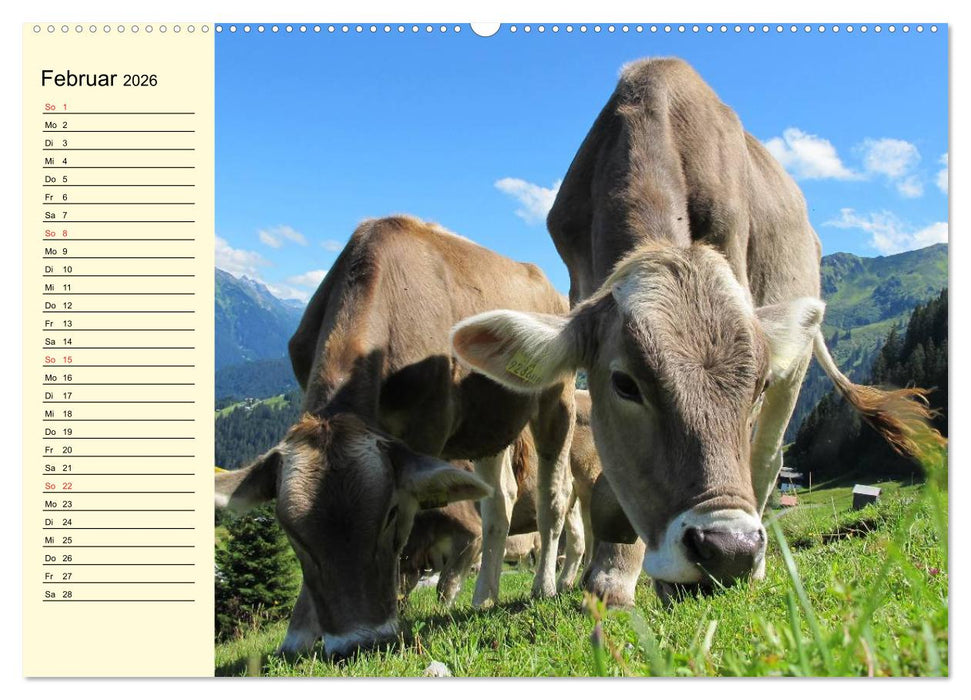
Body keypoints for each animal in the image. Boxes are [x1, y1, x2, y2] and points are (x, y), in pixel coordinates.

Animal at [215, 215, 575, 657]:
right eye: (292, 533)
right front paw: (298, 634)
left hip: (556, 398)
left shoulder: (426, 431)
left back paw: (545, 586)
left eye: (387, 514)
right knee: (500, 500)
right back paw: (483, 596)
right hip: (489, 424)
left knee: (553, 494)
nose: (357, 642)